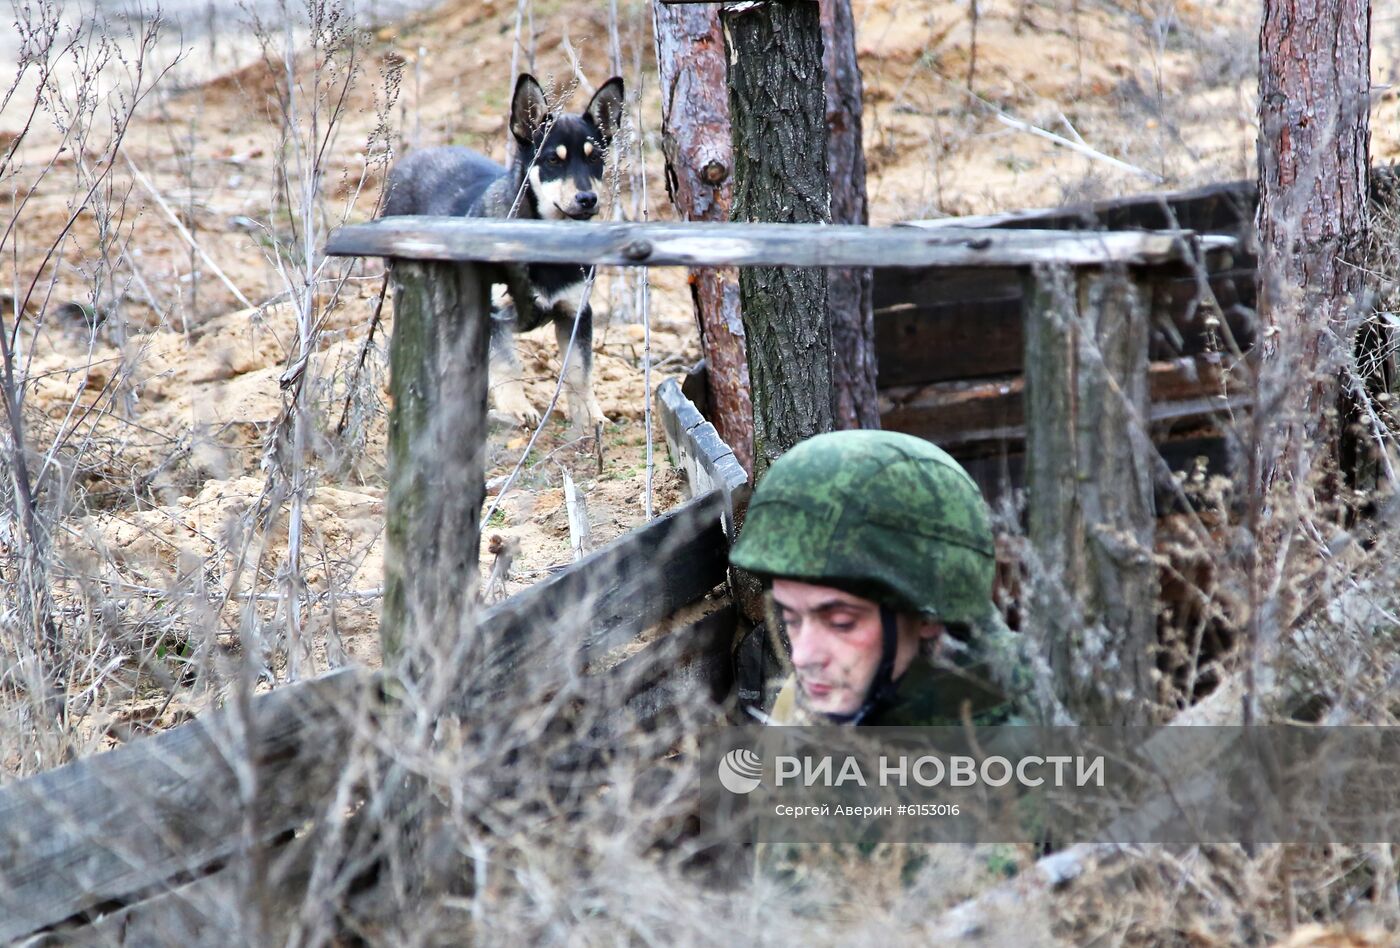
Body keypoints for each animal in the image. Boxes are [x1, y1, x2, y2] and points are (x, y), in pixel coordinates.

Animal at [383, 75, 624, 422]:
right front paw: (517, 408)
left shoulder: (576, 311)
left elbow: (580, 370)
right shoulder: (493, 311)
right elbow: (507, 363)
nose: (588, 200)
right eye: (553, 160)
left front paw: (591, 416)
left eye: (596, 159)